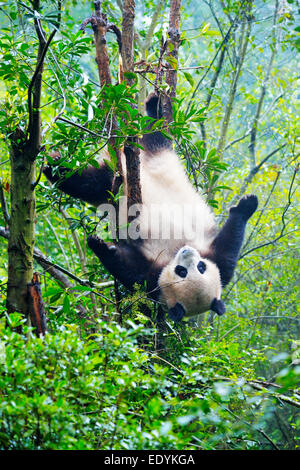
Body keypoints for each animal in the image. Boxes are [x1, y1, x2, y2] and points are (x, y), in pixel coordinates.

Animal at [44, 94, 258, 324]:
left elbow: (127, 269)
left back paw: (54, 167)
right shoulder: (216, 260)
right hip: (151, 155)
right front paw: (248, 204)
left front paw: (101, 245)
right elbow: (230, 245)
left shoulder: (153, 278)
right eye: (187, 270)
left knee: (87, 183)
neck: (173, 255)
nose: (187, 251)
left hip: (110, 186)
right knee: (156, 133)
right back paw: (155, 105)